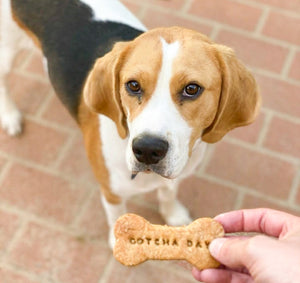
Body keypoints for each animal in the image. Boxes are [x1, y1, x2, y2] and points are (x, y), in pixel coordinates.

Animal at [0, 0, 260, 248]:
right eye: (133, 85)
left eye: (192, 89)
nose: (147, 149)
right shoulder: (111, 192)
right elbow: (117, 215)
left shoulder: (176, 173)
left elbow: (168, 193)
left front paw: (173, 214)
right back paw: (10, 116)